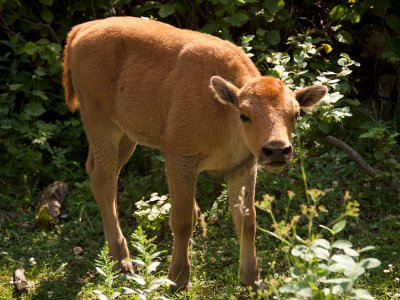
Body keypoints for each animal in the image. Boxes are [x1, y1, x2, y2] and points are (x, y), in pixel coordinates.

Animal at [61, 16, 324, 290]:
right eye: (245, 115)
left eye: (296, 114)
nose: (277, 150)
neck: (224, 109)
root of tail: (82, 29)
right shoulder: (180, 160)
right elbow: (183, 220)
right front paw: (177, 279)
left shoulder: (243, 166)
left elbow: (247, 220)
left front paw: (252, 280)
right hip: (102, 125)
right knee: (104, 180)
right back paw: (122, 262)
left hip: (126, 137)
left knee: (102, 173)